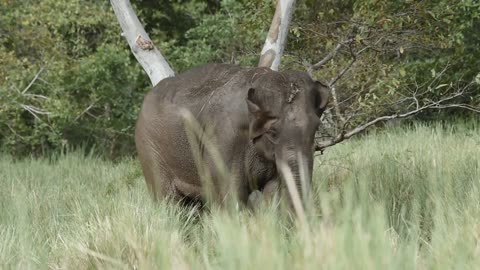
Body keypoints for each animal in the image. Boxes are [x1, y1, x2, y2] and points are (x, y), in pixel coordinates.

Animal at [135, 63, 330, 209]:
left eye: (316, 127)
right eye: (272, 131)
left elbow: (273, 191)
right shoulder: (223, 138)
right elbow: (230, 196)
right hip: (150, 150)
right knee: (169, 203)